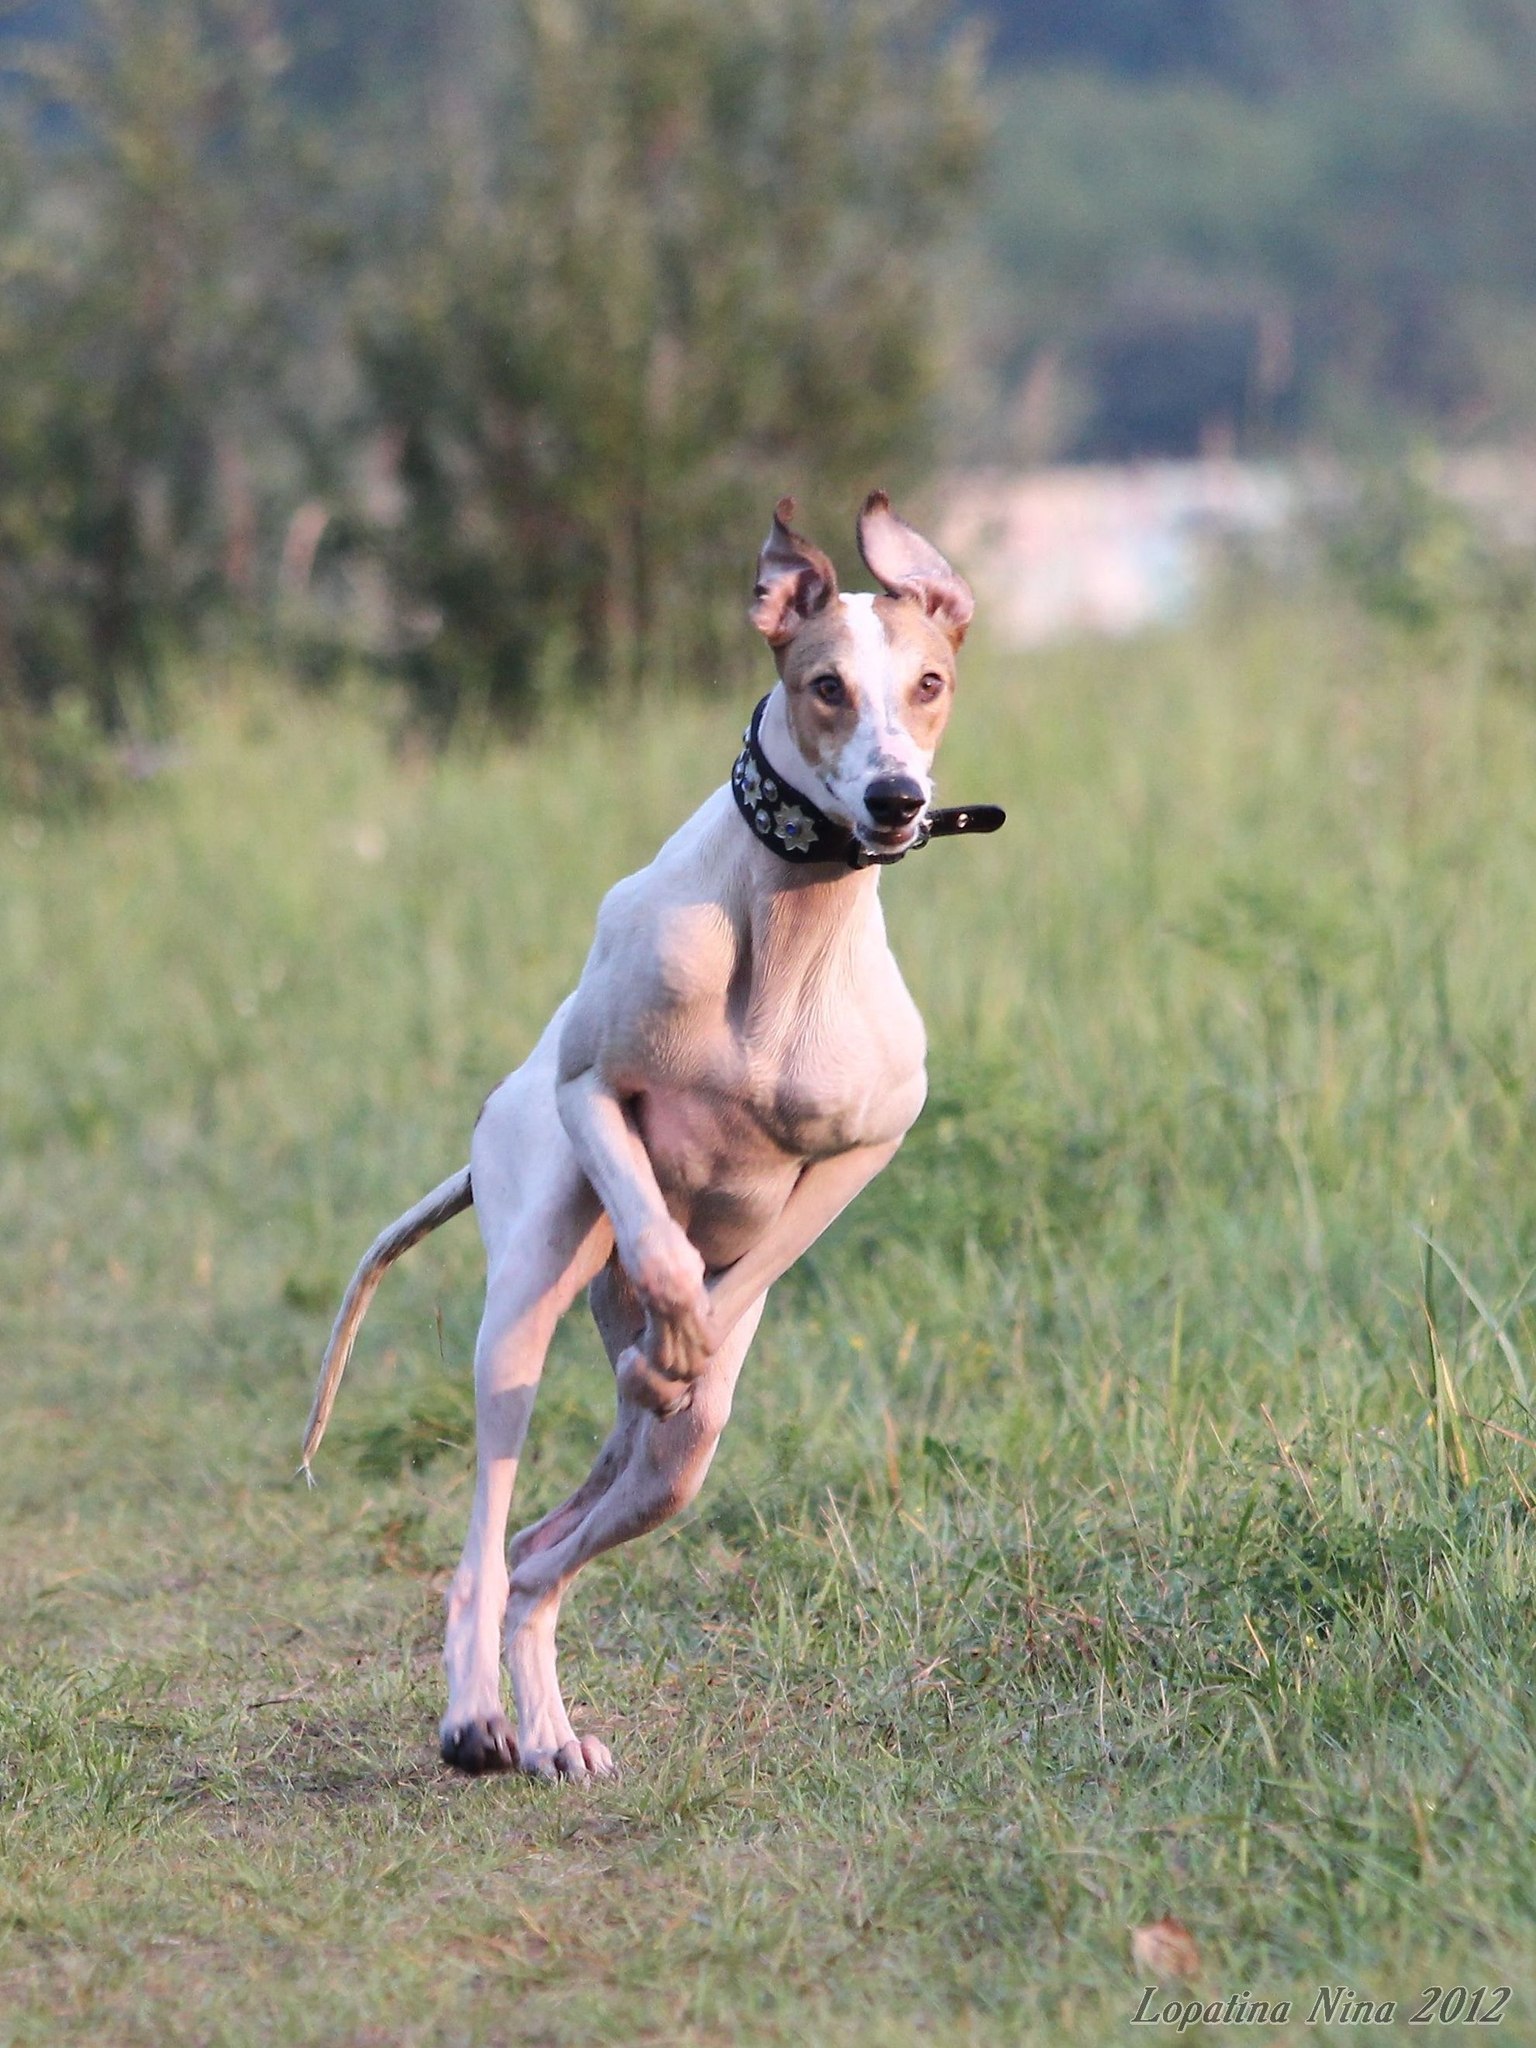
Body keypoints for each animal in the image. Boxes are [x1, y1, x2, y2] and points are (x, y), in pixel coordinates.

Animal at [303, 495, 1003, 1777]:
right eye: (826, 684)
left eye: (930, 681)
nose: (895, 799)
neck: (791, 929)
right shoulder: (592, 1085)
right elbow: (662, 1232)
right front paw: (674, 1316)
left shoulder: (872, 1143)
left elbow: (744, 1271)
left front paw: (686, 1342)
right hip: (524, 1308)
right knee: (487, 1542)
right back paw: (477, 1716)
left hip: (679, 1464)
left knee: (545, 1552)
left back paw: (548, 1727)